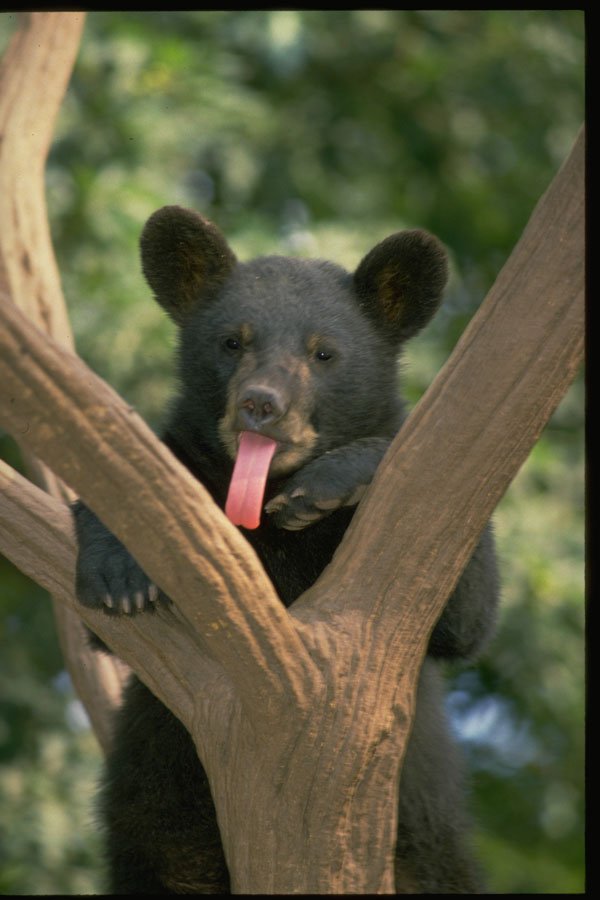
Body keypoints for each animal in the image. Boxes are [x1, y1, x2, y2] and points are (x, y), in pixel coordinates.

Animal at [73, 205, 499, 894]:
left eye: (323, 352)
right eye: (232, 341)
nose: (260, 405)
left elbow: (466, 616)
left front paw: (327, 483)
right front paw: (119, 570)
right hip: (161, 820)